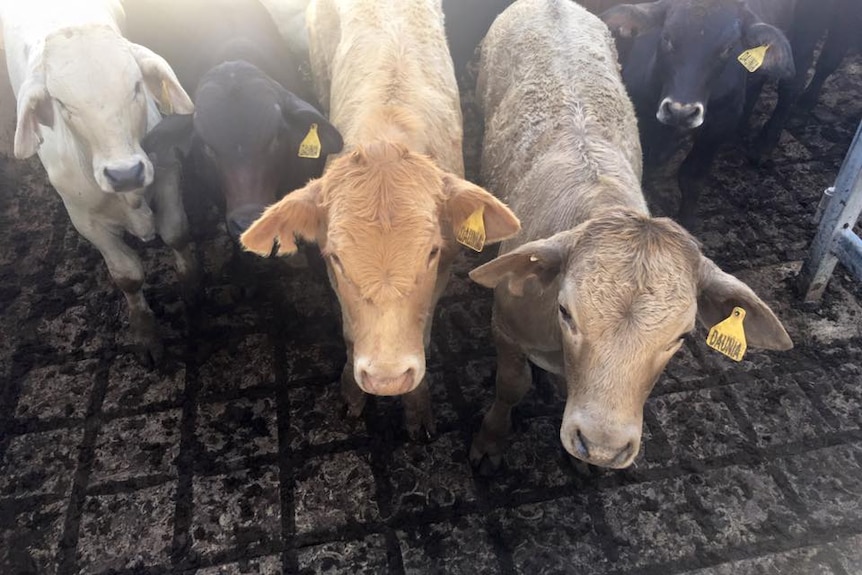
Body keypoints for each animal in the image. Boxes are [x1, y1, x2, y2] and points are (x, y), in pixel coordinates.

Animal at [2, 0, 195, 366]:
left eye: (136, 86)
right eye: (64, 105)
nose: (125, 173)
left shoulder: (168, 175)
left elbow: (176, 233)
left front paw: (194, 285)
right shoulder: (84, 219)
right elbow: (127, 276)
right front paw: (145, 333)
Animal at [240, 0, 520, 438]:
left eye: (431, 253)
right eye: (336, 257)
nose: (387, 379)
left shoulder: (446, 268)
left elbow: (423, 328)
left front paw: (416, 407)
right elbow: (349, 331)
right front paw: (352, 394)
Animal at [600, 0, 796, 230]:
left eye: (728, 48)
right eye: (666, 37)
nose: (681, 111)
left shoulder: (720, 124)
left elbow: (691, 178)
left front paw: (687, 225)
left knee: (791, 85)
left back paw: (763, 146)